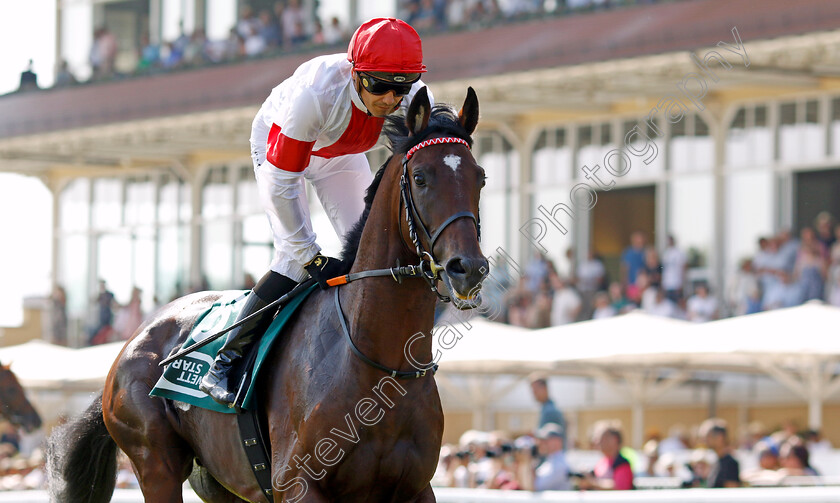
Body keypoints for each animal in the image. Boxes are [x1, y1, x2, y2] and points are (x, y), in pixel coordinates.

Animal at [44, 87, 486, 503]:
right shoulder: (298, 484)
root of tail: (135, 338)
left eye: (480, 177)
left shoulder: (416, 489)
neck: (381, 362)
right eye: (421, 177)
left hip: (220, 483)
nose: (468, 268)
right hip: (156, 463)